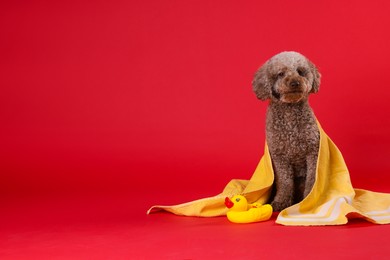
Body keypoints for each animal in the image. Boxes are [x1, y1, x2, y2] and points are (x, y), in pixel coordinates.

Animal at [253, 50, 320, 211]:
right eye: (281, 74)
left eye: (301, 72)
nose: (295, 82)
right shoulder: (279, 157)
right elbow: (285, 182)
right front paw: (281, 201)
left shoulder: (313, 152)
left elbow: (312, 179)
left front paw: (309, 200)